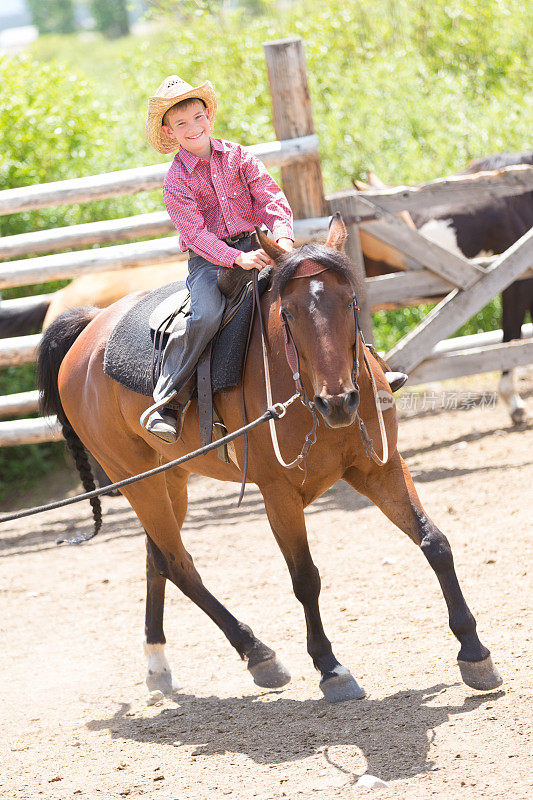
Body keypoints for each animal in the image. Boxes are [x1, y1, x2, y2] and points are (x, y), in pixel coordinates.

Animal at [36, 216, 498, 704]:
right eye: (288, 314)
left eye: (350, 301)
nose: (339, 402)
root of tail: (88, 328)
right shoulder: (278, 494)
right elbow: (305, 577)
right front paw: (330, 668)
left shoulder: (380, 468)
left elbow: (434, 542)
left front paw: (474, 651)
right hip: (135, 479)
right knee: (179, 564)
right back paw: (257, 652)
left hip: (171, 478)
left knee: (156, 558)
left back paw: (159, 666)